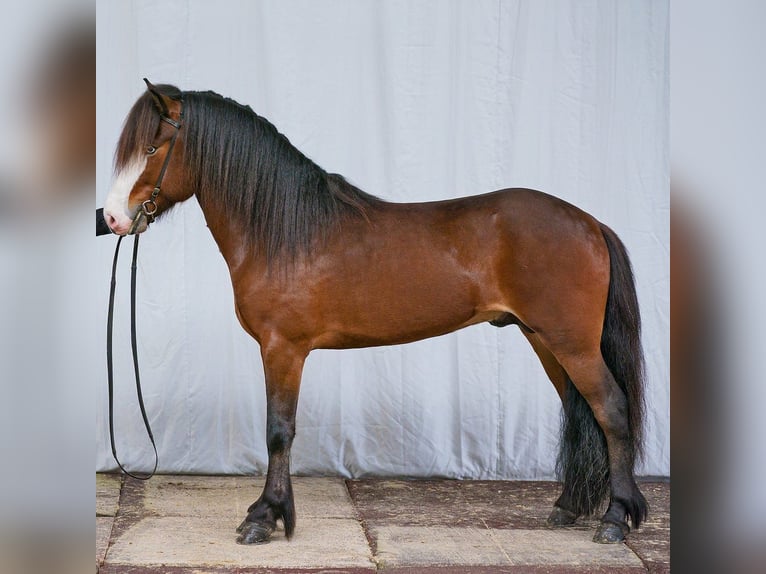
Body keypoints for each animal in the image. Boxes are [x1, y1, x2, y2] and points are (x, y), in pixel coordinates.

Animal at [103, 80, 648, 544]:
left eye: (151, 150)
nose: (111, 218)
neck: (286, 233)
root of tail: (589, 222)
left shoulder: (283, 350)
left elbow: (279, 431)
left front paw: (265, 517)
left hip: (571, 343)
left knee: (612, 409)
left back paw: (615, 519)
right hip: (546, 341)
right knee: (582, 412)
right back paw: (568, 507)